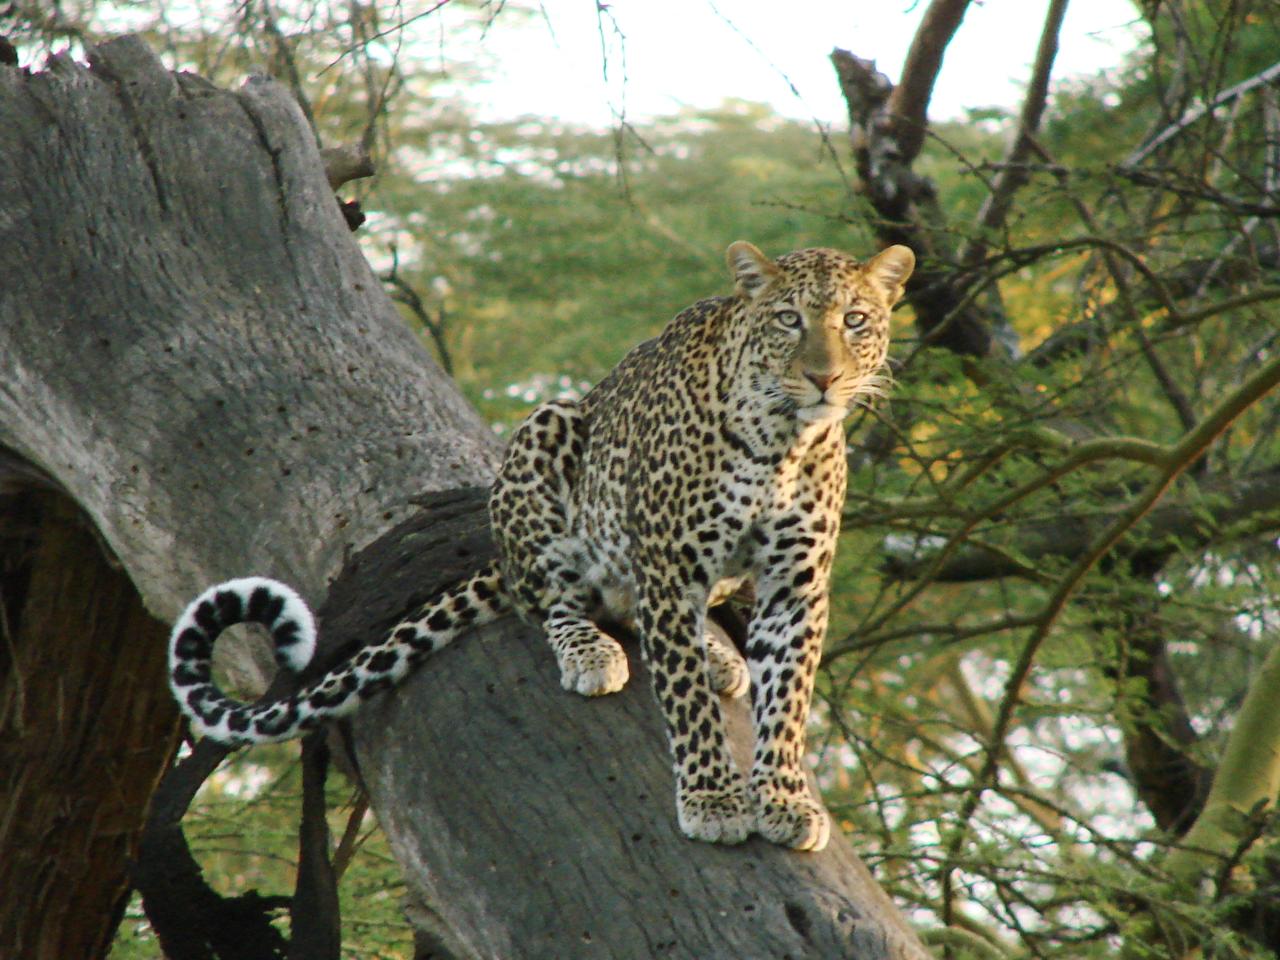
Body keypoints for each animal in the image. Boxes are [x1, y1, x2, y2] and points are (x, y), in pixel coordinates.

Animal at [168, 239, 914, 852]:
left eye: (856, 320)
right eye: (789, 320)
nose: (824, 378)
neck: (784, 440)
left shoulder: (795, 586)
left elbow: (787, 700)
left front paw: (785, 800)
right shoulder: (668, 565)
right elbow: (685, 701)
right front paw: (714, 799)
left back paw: (715, 652)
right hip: (548, 434)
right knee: (557, 601)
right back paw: (593, 650)